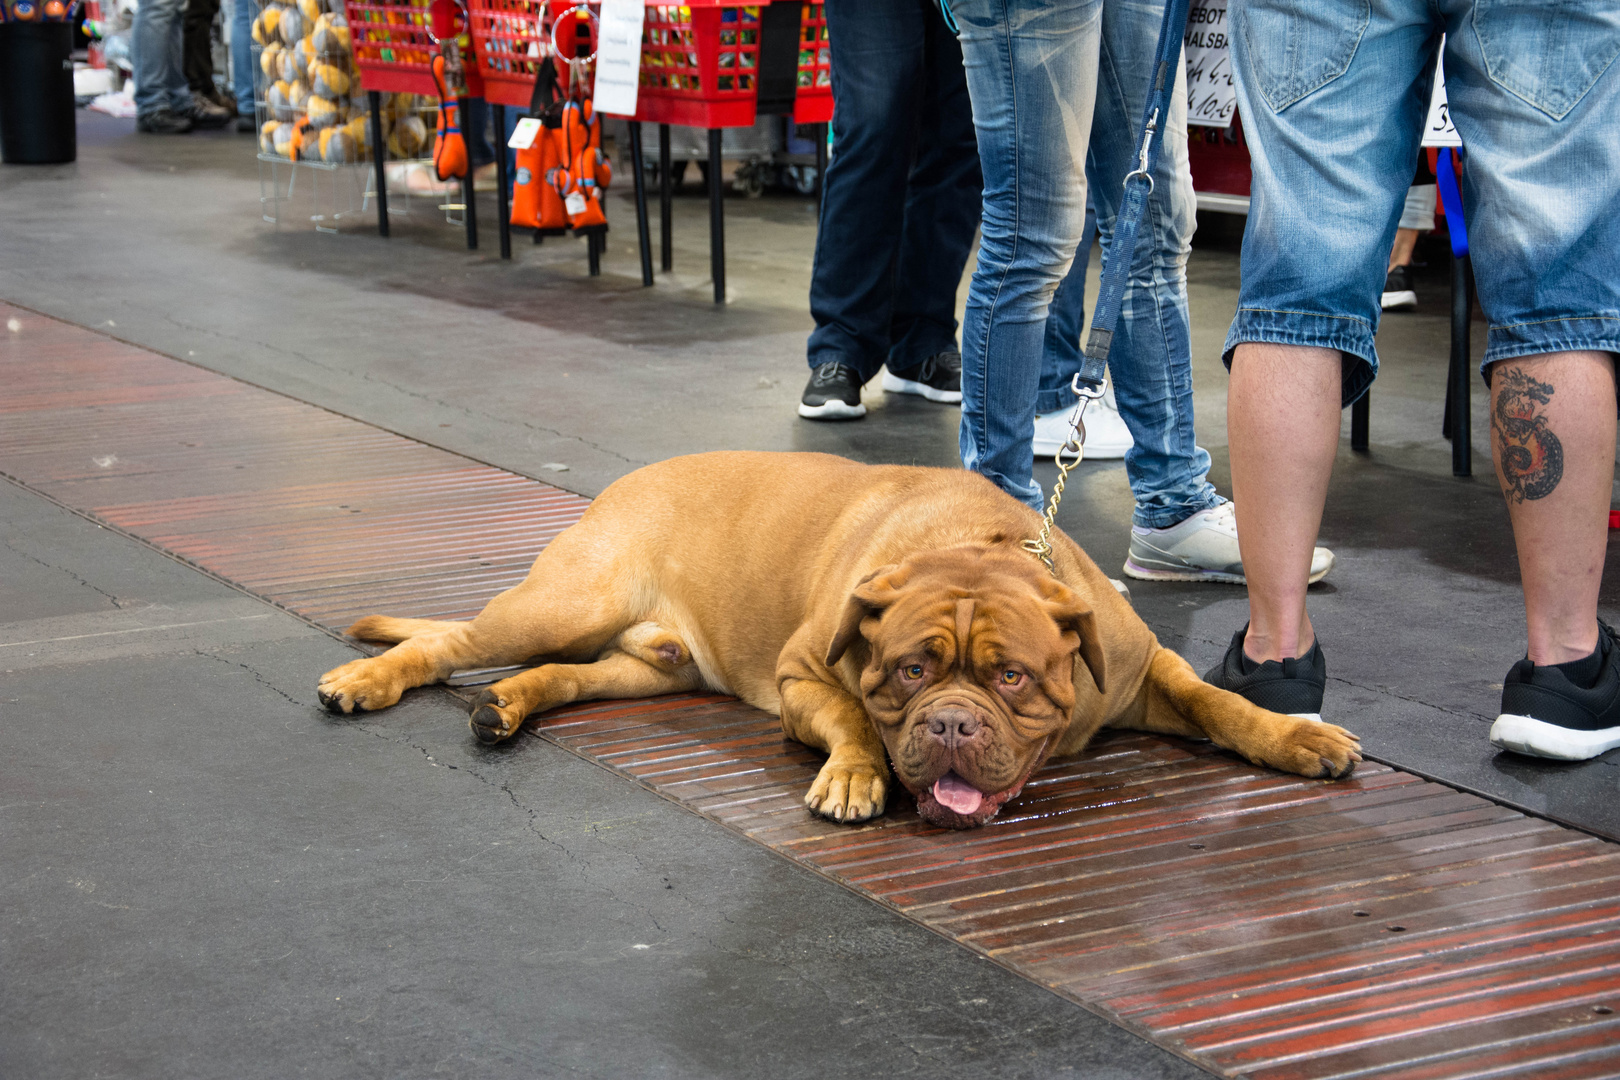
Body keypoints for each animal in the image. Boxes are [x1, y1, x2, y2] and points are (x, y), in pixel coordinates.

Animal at [315, 453, 1354, 835]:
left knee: (559, 678)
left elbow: (1221, 701)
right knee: (448, 640)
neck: (978, 544)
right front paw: (855, 775)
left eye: (1014, 678)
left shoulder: (1144, 674)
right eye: (911, 673)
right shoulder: (803, 673)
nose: (951, 726)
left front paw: (1296, 734)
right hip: (563, 602)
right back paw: (366, 677)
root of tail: (621, 484)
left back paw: (507, 705)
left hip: (637, 667)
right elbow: (850, 716)